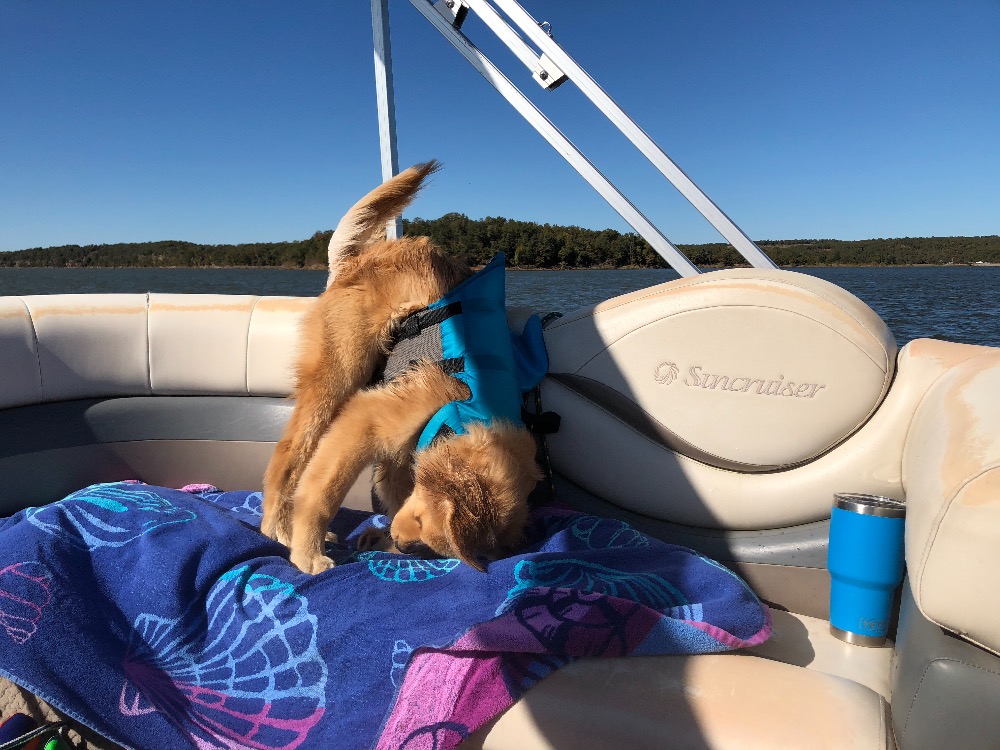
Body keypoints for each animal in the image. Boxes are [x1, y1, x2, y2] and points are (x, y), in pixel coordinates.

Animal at [261, 161, 542, 574]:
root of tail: (360, 256)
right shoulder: (368, 418)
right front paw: (308, 552)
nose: (404, 545)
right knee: (287, 454)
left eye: (434, 546)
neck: (464, 415)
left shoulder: (399, 457)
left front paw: (379, 541)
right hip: (339, 372)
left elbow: (392, 492)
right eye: (425, 522)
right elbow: (321, 492)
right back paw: (278, 529)